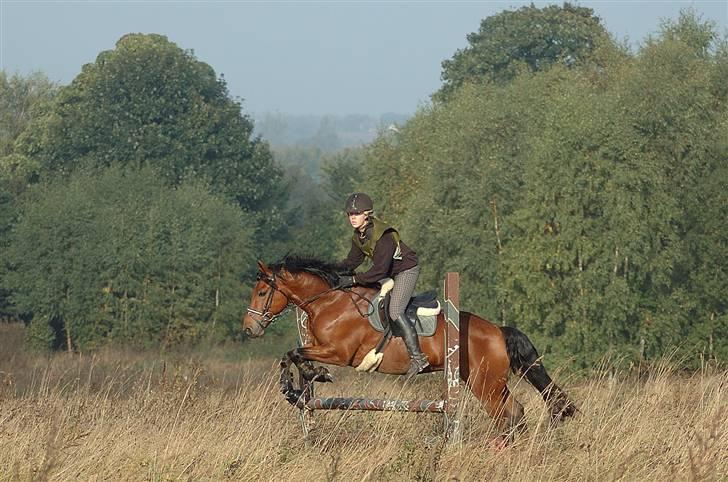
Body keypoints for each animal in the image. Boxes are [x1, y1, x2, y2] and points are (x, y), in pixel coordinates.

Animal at [242, 256, 576, 444]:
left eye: (262, 292)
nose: (249, 329)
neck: (329, 302)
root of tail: (497, 330)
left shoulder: (339, 352)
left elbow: (294, 354)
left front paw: (302, 383)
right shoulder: (321, 346)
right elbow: (293, 355)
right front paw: (304, 384)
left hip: (486, 384)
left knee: (505, 415)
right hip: (484, 381)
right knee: (515, 411)